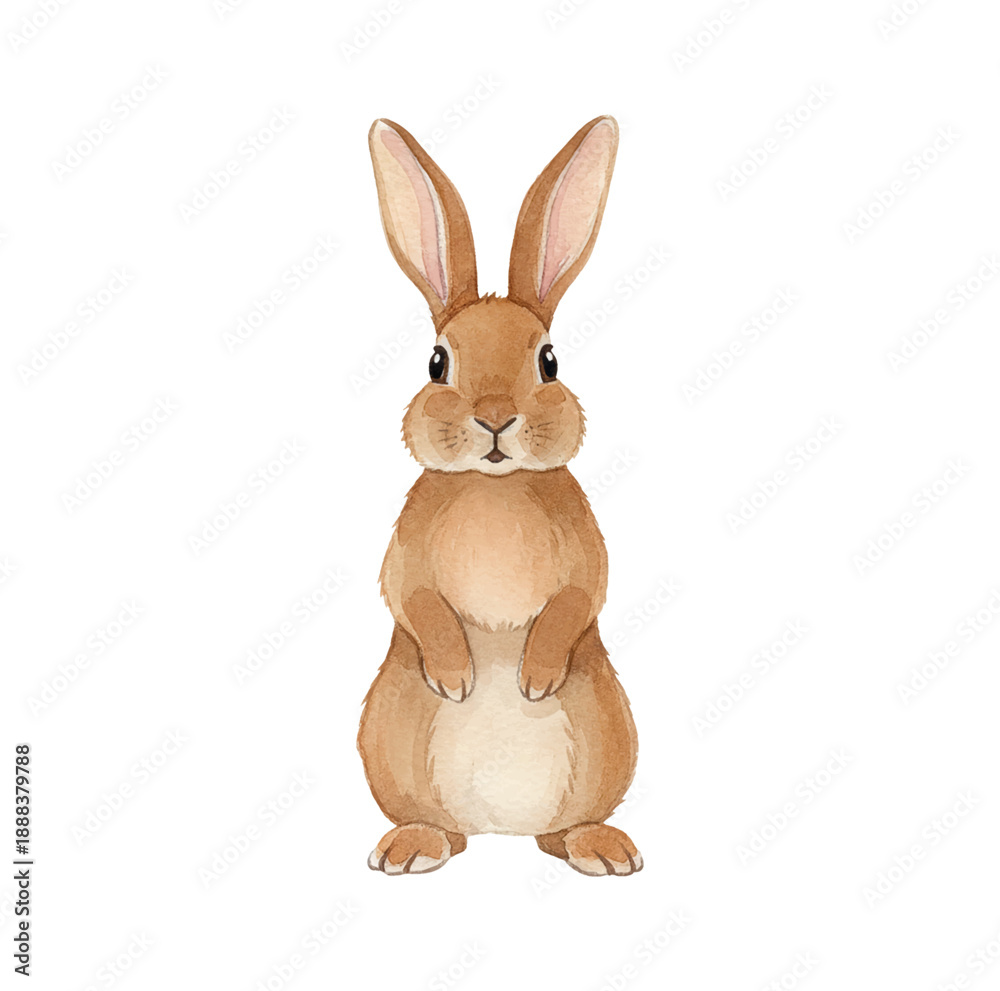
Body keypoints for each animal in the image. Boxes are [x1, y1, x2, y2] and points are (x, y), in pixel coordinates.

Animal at [358, 115, 641, 877]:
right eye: (437, 361)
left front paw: (536, 678)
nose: (493, 418)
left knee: (563, 830)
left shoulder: (586, 550)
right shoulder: (405, 555)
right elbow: (412, 597)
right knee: (441, 829)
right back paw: (412, 847)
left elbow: (581, 595)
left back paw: (601, 849)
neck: (497, 489)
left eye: (549, 360)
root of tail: (500, 832)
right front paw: (457, 677)